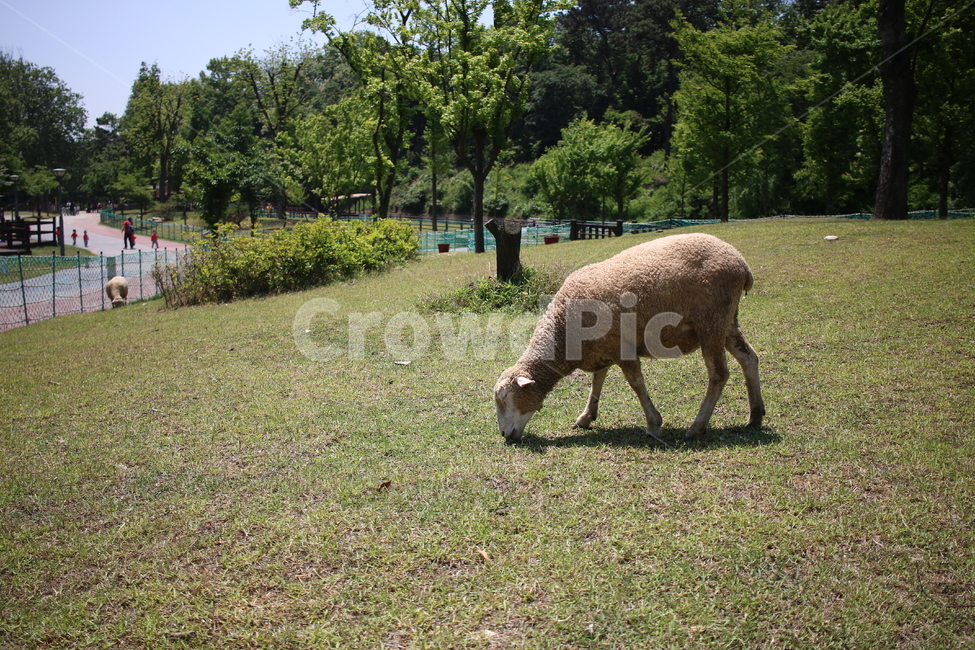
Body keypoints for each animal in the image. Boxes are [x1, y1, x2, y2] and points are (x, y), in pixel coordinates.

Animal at [494, 232, 765, 443]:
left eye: (504, 399)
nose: (505, 435)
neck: (564, 334)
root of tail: (742, 264)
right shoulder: (603, 348)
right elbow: (597, 381)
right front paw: (587, 416)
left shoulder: (624, 347)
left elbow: (636, 383)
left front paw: (654, 424)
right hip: (727, 322)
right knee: (749, 358)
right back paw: (755, 415)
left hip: (711, 322)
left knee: (719, 373)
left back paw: (696, 428)